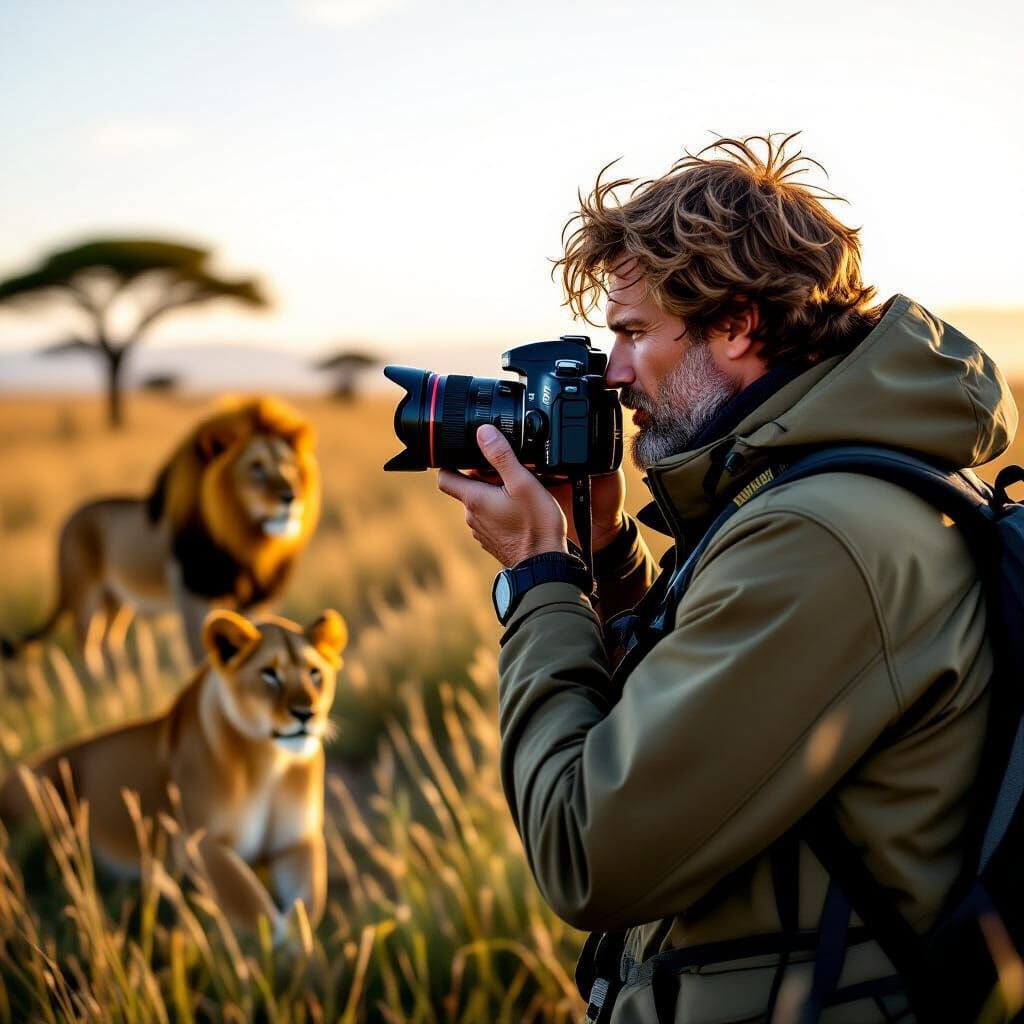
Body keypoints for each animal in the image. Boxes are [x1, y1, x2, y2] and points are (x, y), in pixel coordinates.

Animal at [0, 607, 347, 943]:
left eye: (314, 673)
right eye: (269, 674)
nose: (307, 714)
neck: (271, 762)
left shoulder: (299, 841)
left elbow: (308, 904)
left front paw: (305, 946)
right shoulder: (196, 843)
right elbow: (255, 908)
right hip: (42, 787)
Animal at [2, 396, 320, 676]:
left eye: (290, 466)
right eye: (256, 467)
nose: (291, 496)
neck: (247, 541)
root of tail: (71, 516)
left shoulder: (255, 601)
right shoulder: (192, 595)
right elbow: (199, 654)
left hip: (116, 599)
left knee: (109, 641)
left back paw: (122, 686)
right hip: (83, 592)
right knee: (86, 645)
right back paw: (100, 688)